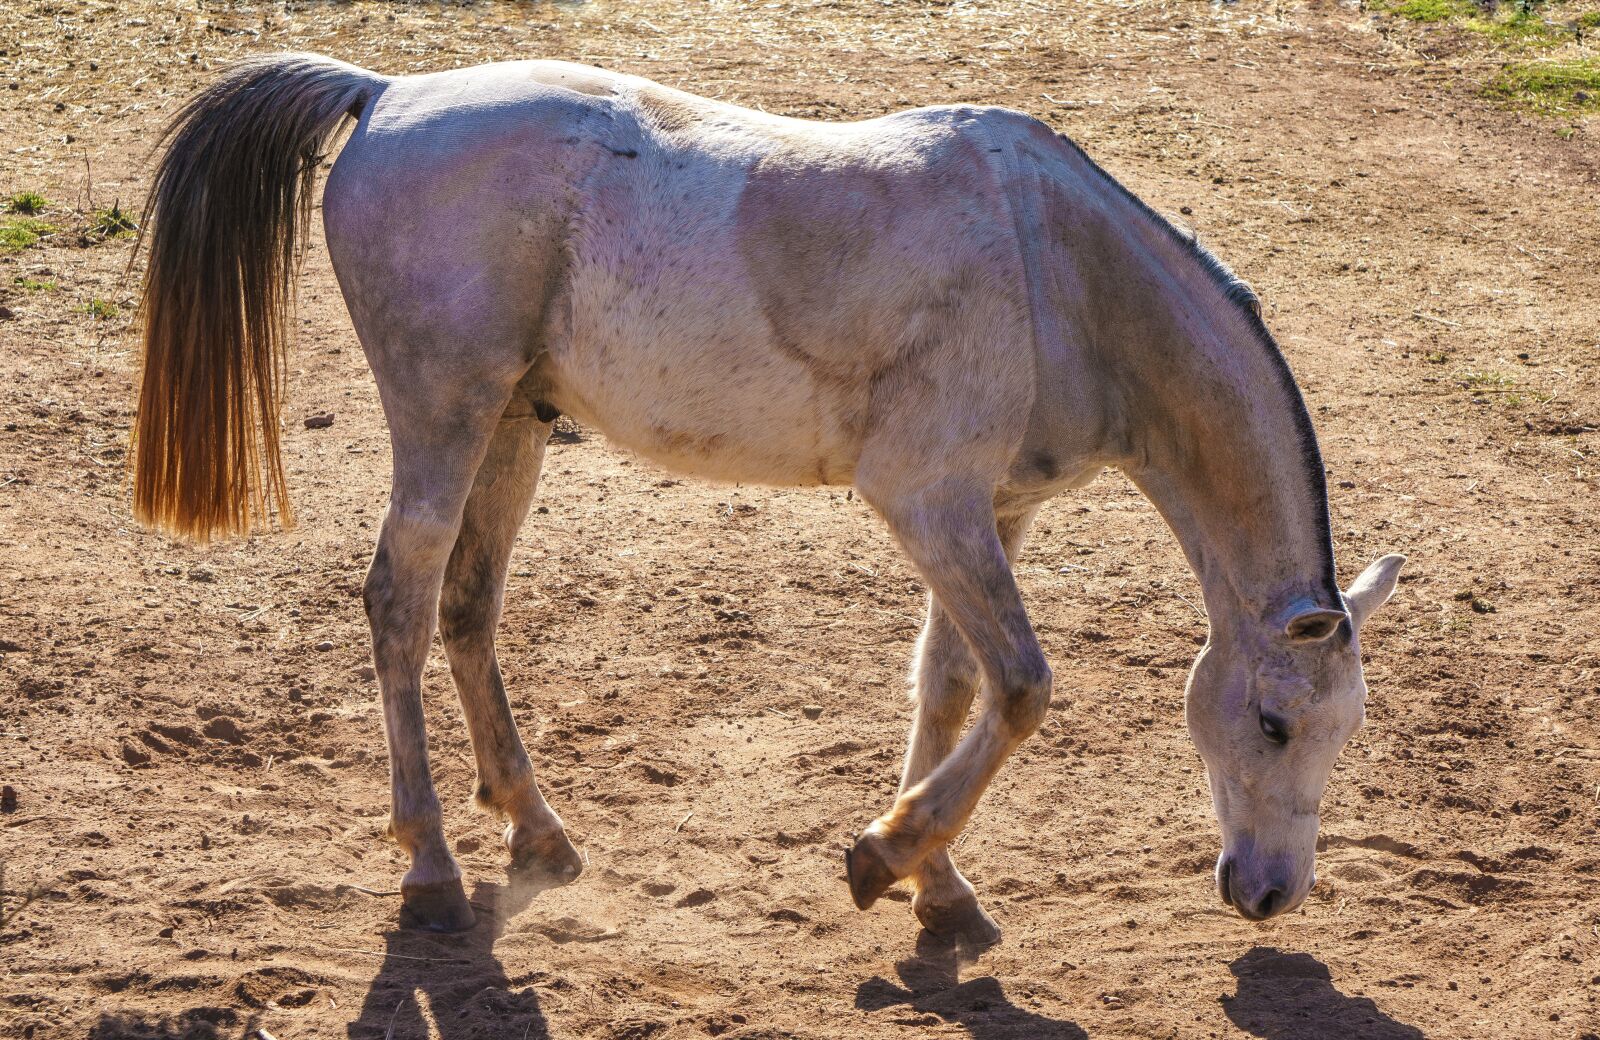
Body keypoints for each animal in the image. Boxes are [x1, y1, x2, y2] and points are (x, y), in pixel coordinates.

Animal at [140, 52, 1414, 934]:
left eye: (1344, 730)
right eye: (1272, 721)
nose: (1270, 894)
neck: (1054, 270)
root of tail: (385, 92)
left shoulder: (990, 512)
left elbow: (952, 684)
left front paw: (936, 884)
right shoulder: (926, 502)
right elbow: (1022, 685)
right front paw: (884, 855)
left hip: (510, 428)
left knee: (466, 609)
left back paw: (538, 831)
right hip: (443, 420)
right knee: (399, 604)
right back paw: (432, 867)